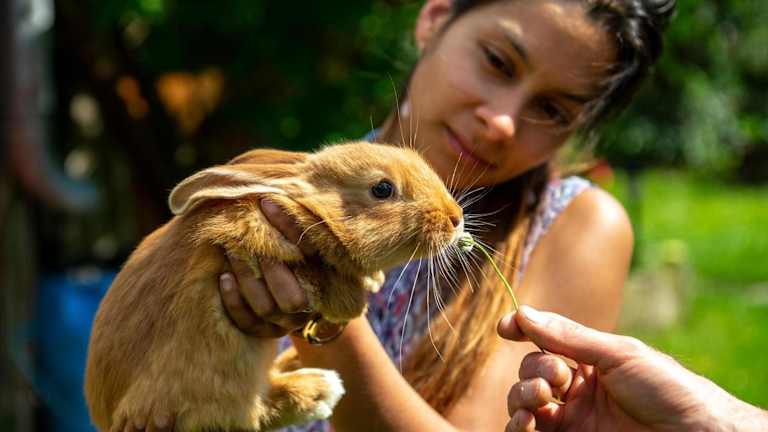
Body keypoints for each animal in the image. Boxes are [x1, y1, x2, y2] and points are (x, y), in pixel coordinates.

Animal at [84, 141, 465, 431]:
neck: (307, 209)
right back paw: (319, 389)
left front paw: (372, 280)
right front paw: (353, 299)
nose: (455, 217)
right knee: (251, 412)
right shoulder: (254, 242)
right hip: (214, 379)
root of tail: (115, 416)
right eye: (382, 189)